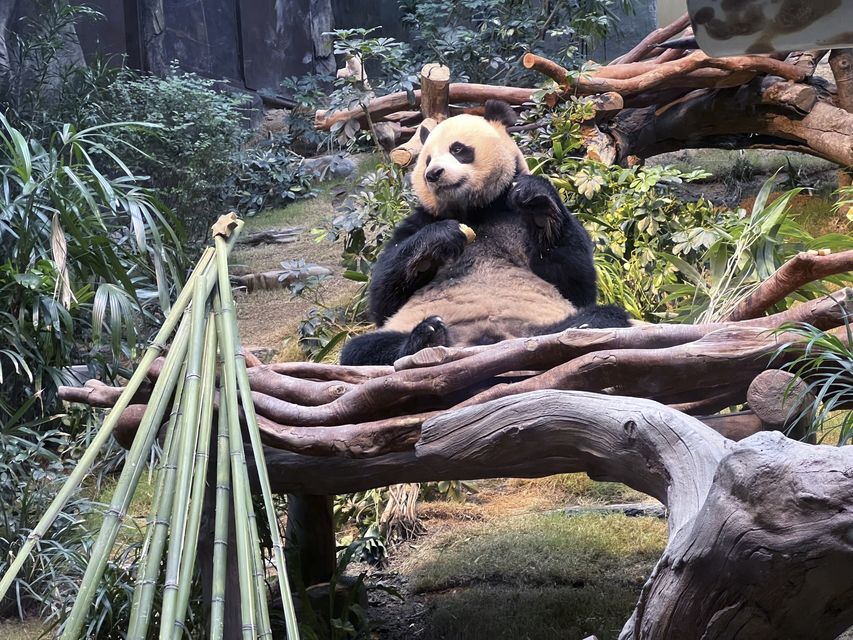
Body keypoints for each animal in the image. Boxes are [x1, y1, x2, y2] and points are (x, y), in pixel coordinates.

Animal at [338, 102, 624, 368]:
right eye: (427, 159)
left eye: (457, 149)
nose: (433, 174)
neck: (475, 210)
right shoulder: (418, 221)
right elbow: (383, 298)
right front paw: (440, 240)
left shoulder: (514, 213)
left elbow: (575, 282)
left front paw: (539, 206)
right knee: (362, 349)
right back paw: (426, 336)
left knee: (603, 317)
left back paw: (576, 329)